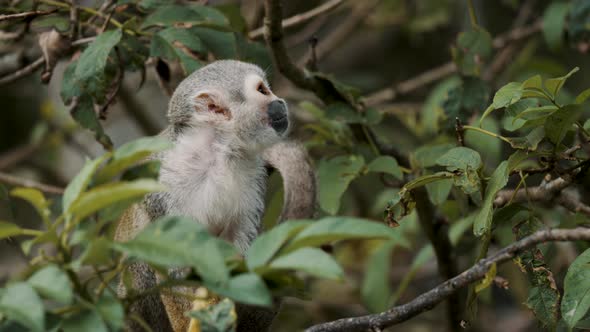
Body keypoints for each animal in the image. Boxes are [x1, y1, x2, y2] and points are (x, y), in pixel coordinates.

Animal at [117, 61, 320, 330]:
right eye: (262, 90)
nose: (280, 101)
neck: (217, 153)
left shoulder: (254, 173)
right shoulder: (161, 181)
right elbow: (171, 260)